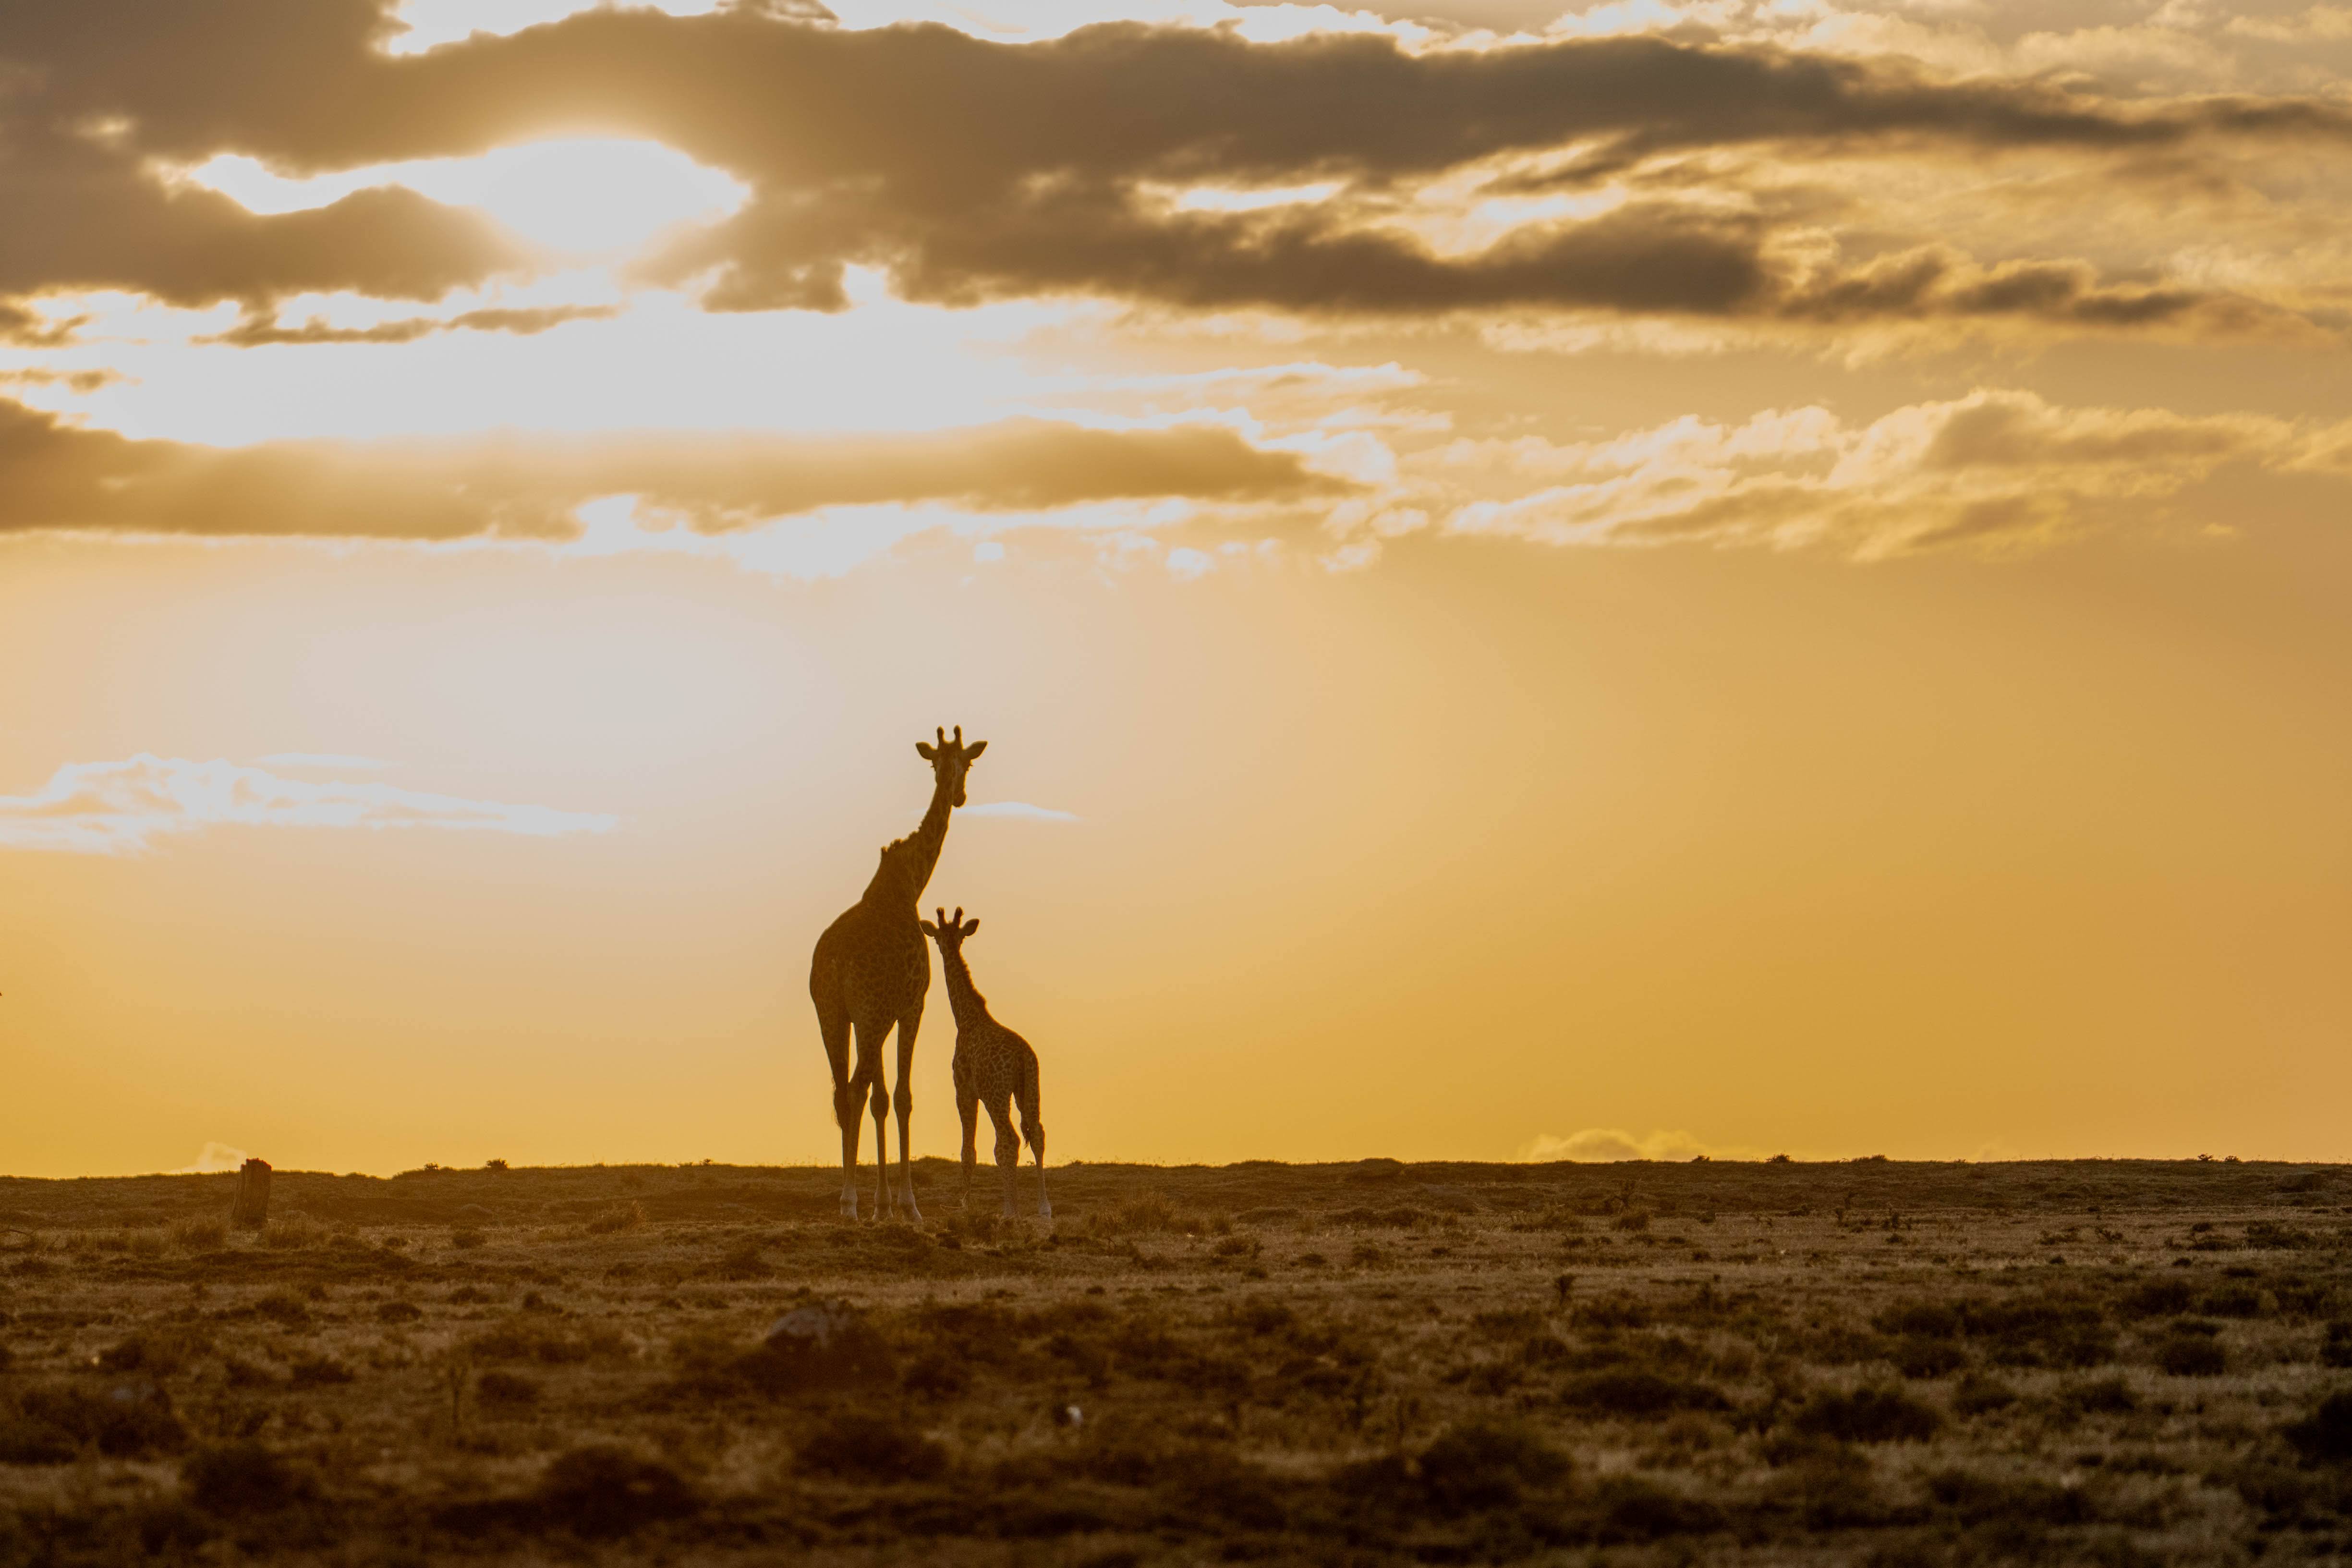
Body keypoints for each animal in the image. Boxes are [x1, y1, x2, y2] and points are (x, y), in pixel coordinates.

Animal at [809, 727, 986, 1220]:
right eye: (967, 763)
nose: (960, 795)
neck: (909, 882)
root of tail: (835, 963)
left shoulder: (874, 1015)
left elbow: (882, 1100)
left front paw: (883, 1204)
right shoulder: (911, 1005)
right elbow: (902, 1098)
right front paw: (907, 1205)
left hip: (831, 1015)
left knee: (843, 1093)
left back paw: (850, 1199)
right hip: (866, 1017)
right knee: (852, 1090)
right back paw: (848, 1203)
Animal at [918, 907, 1048, 1220]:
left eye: (937, 938)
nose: (943, 947)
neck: (966, 1018)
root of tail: (1022, 1057)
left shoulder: (964, 1090)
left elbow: (968, 1151)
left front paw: (965, 1206)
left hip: (996, 1093)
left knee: (1008, 1141)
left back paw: (1010, 1211)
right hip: (1031, 1088)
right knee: (1038, 1133)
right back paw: (1044, 1209)